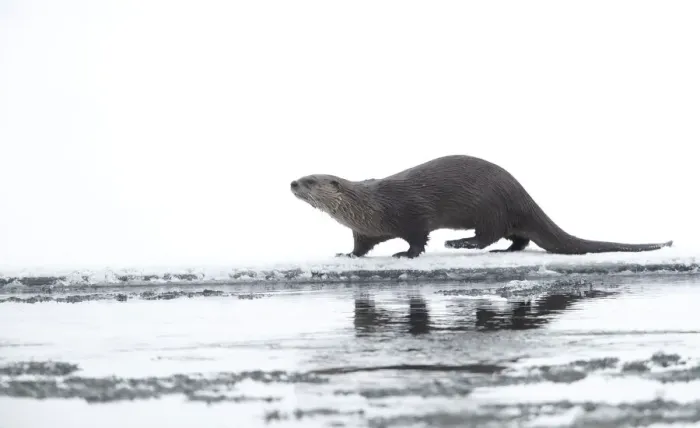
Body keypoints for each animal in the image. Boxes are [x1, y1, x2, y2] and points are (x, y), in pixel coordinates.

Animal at [289, 155, 673, 259]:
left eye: (310, 180)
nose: (292, 183)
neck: (371, 207)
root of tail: (522, 193)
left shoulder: (412, 214)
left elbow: (418, 238)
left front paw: (405, 255)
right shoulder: (364, 230)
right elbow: (361, 246)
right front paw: (347, 255)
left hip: (490, 206)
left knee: (490, 233)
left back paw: (461, 242)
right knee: (519, 238)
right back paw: (504, 251)